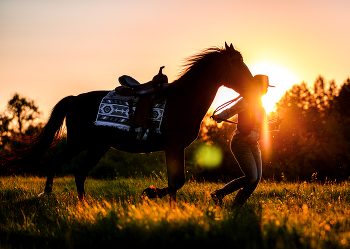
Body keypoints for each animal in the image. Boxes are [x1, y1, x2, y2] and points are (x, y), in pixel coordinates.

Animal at [0, 43, 258, 206]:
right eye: (238, 65)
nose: (254, 85)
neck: (182, 100)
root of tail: (74, 99)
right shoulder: (172, 145)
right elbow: (175, 180)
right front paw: (158, 199)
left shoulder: (178, 147)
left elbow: (178, 181)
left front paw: (158, 197)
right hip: (78, 142)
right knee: (56, 163)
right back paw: (46, 195)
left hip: (97, 146)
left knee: (79, 172)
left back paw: (84, 205)